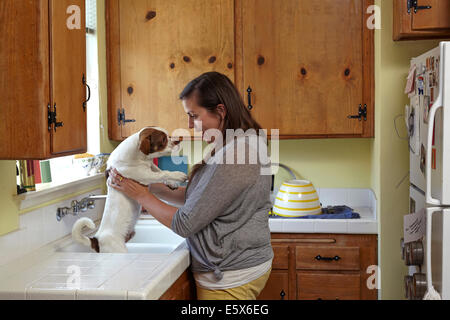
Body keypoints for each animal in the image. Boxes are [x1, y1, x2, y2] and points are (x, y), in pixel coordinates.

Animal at [72, 126, 188, 254]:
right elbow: (163, 173)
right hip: (119, 250)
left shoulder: (150, 167)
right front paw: (178, 175)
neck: (139, 156)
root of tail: (96, 240)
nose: (178, 140)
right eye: (163, 139)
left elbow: (159, 170)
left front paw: (172, 183)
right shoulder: (144, 174)